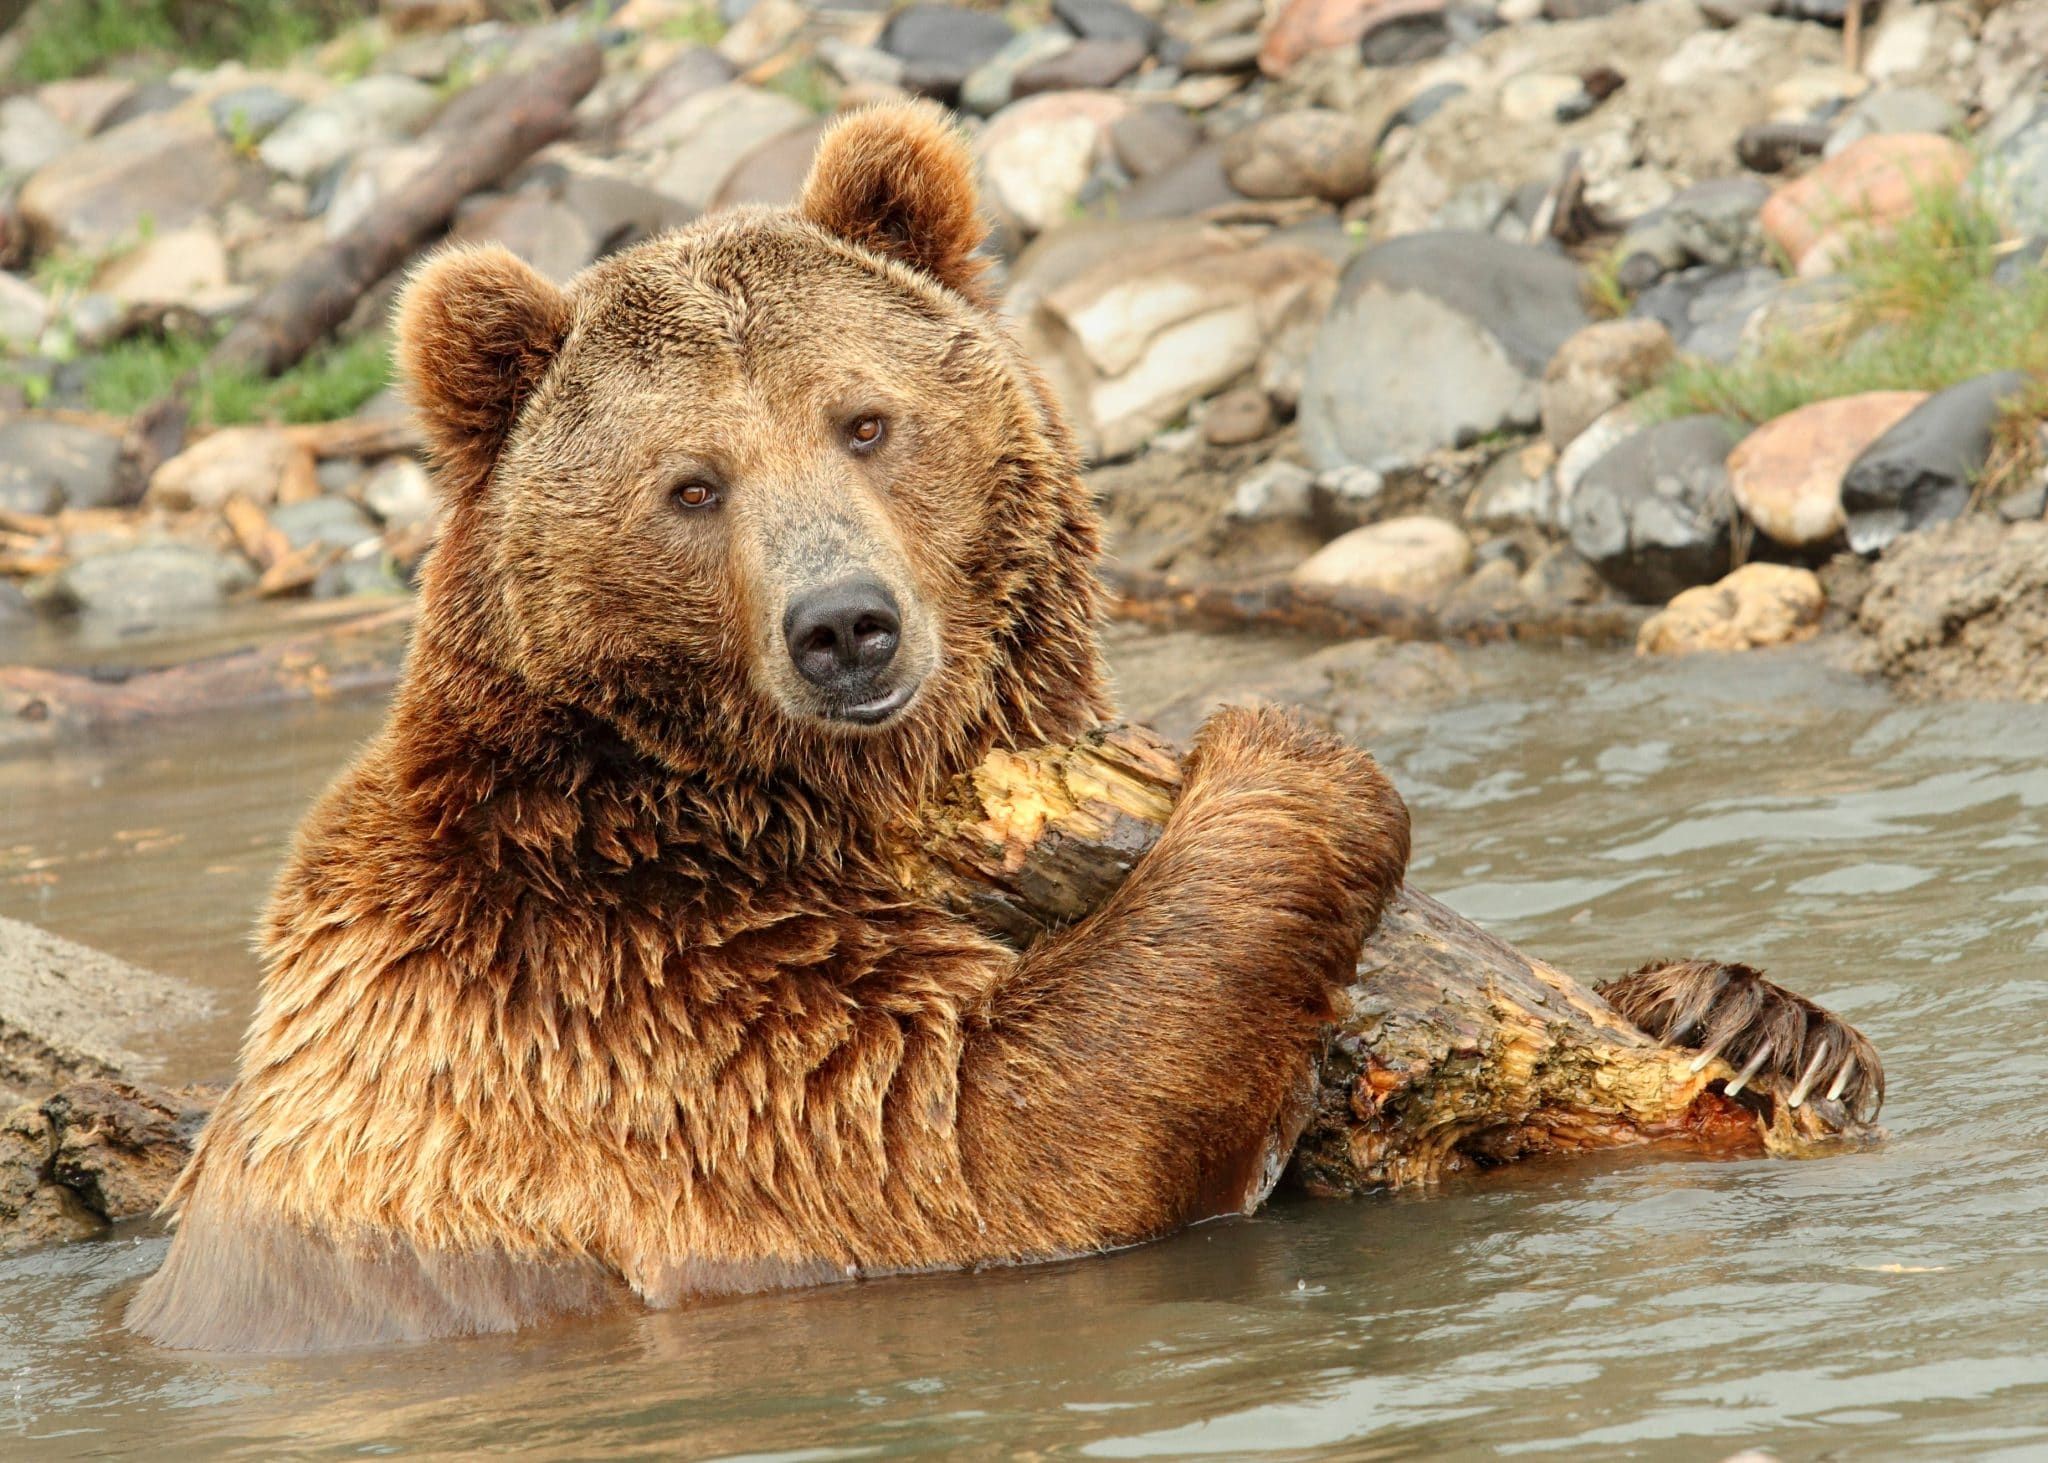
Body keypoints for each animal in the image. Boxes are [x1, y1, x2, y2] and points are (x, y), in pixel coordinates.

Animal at [123, 102, 1409, 1352]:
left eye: (863, 421)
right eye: (692, 485)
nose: (843, 625)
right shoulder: (619, 1001)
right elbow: (973, 1128)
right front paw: (1289, 759)